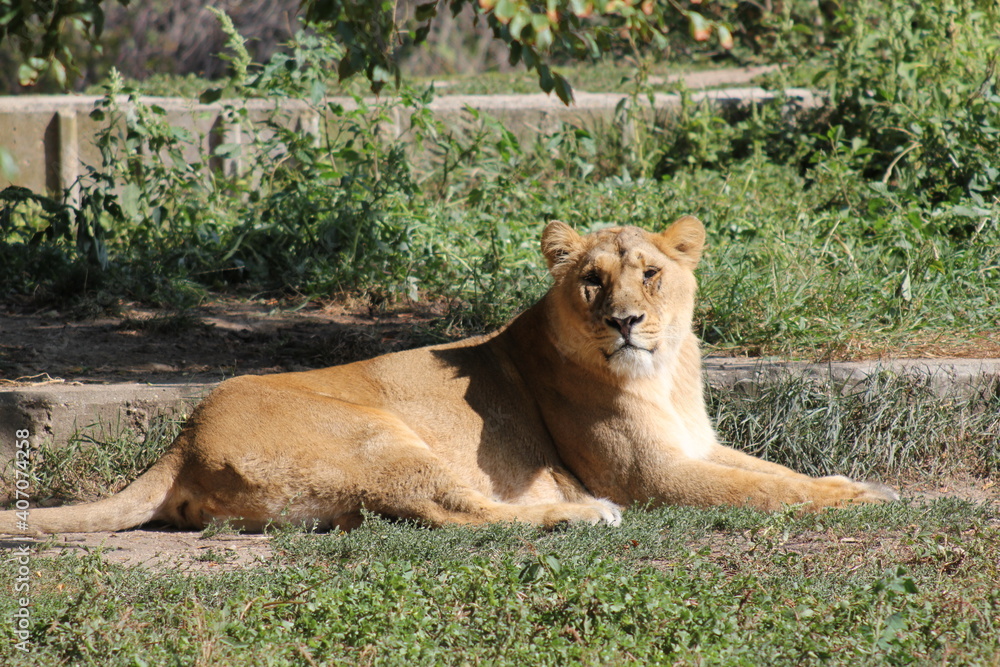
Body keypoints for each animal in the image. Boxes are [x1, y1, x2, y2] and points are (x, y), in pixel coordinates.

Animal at [2, 216, 898, 535]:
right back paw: (582, 516)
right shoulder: (654, 476)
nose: (625, 322)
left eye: (650, 274)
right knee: (454, 514)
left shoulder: (696, 445)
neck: (667, 371)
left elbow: (775, 471)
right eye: (592, 281)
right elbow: (761, 492)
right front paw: (854, 500)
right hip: (380, 434)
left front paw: (857, 485)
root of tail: (185, 434)